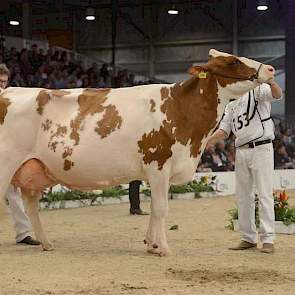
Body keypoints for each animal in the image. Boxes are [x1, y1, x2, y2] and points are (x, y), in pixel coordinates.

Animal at [0, 49, 276, 256]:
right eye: (233, 60)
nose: (271, 70)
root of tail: (9, 91)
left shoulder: (161, 170)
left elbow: (154, 206)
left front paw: (151, 244)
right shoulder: (158, 163)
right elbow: (161, 207)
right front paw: (163, 248)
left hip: (33, 168)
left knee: (31, 206)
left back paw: (46, 243)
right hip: (6, 164)